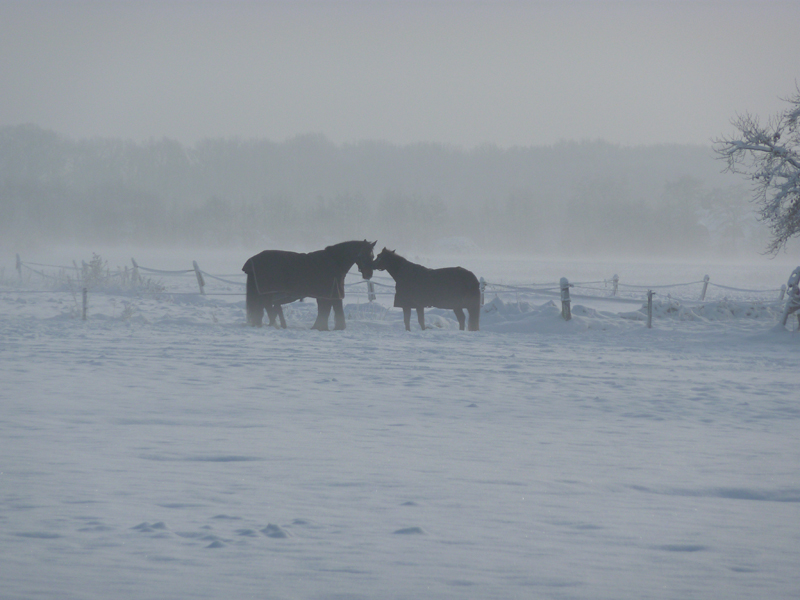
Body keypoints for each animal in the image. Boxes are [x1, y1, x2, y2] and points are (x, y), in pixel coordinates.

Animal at [242, 239, 376, 330]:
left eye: (372, 255)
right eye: (361, 255)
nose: (368, 274)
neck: (335, 262)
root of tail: (252, 261)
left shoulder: (330, 294)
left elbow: (328, 309)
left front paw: (323, 327)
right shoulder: (330, 293)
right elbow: (327, 310)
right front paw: (324, 327)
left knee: (264, 306)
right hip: (267, 292)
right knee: (265, 306)